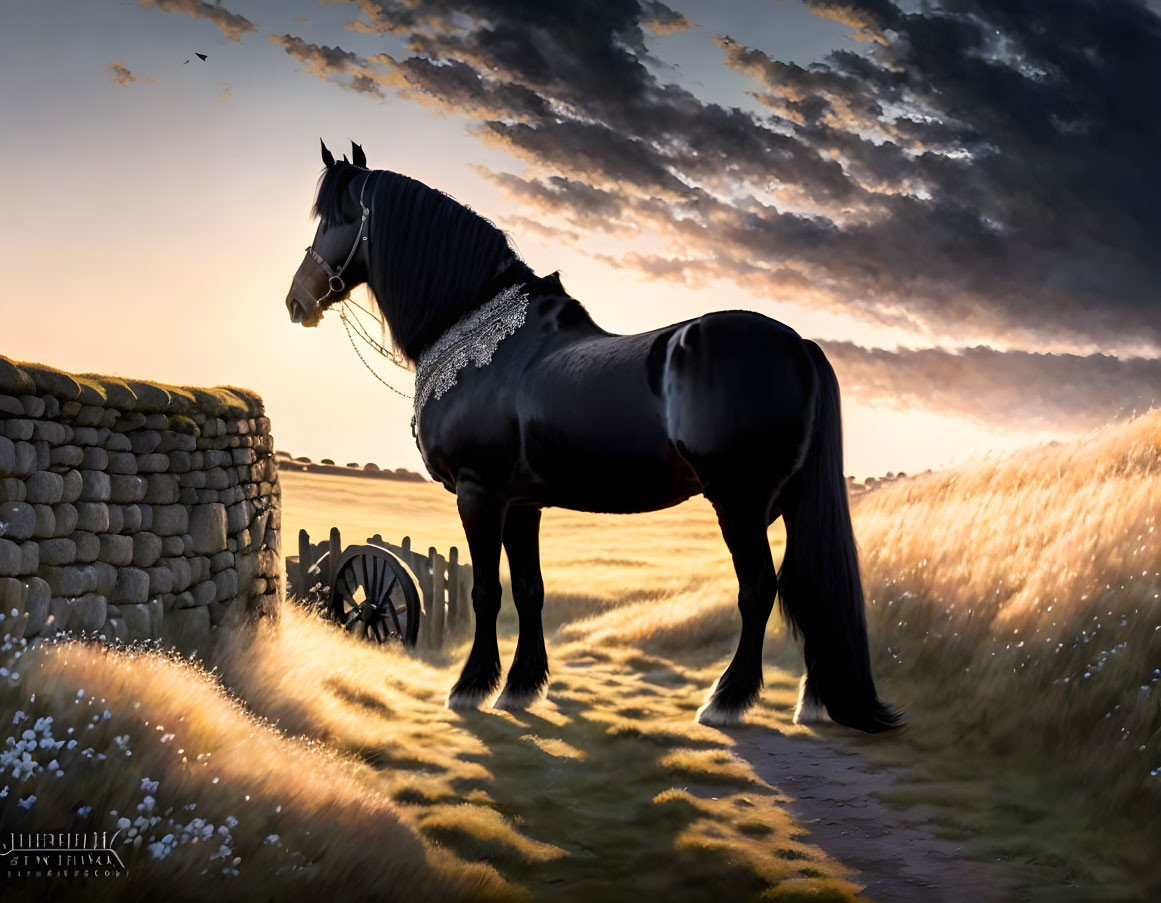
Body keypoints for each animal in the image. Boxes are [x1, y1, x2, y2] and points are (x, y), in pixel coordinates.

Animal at [285, 140, 900, 733]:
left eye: (335, 220)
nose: (297, 301)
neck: (482, 340)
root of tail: (799, 345)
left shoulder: (478, 494)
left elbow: (485, 592)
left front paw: (469, 688)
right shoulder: (521, 503)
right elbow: (528, 591)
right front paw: (520, 688)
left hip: (739, 504)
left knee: (759, 592)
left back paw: (725, 702)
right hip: (789, 502)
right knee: (809, 588)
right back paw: (815, 702)